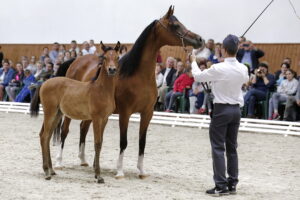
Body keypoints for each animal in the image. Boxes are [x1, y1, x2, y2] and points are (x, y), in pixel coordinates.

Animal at [29, 42, 120, 183]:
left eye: (117, 57)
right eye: (104, 57)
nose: (112, 70)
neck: (101, 90)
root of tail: (44, 83)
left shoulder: (105, 119)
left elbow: (100, 142)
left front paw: (97, 173)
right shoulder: (96, 118)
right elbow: (97, 143)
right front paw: (98, 176)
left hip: (57, 114)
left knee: (46, 136)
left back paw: (51, 170)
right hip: (50, 113)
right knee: (44, 136)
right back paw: (47, 172)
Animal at [54, 5, 204, 178]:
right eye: (175, 25)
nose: (200, 40)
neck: (137, 75)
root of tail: (76, 61)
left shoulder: (147, 113)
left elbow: (142, 142)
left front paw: (142, 171)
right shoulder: (125, 113)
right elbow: (123, 141)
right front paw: (119, 171)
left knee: (83, 128)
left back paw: (84, 160)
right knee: (65, 131)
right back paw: (58, 162)